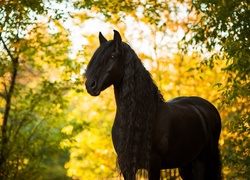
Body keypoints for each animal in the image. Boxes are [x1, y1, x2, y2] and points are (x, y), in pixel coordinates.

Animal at [85, 30, 222, 179]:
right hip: (185, 164)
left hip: (201, 161)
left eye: (113, 56)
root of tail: (208, 108)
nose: (90, 85)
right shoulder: (127, 166)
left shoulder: (154, 163)